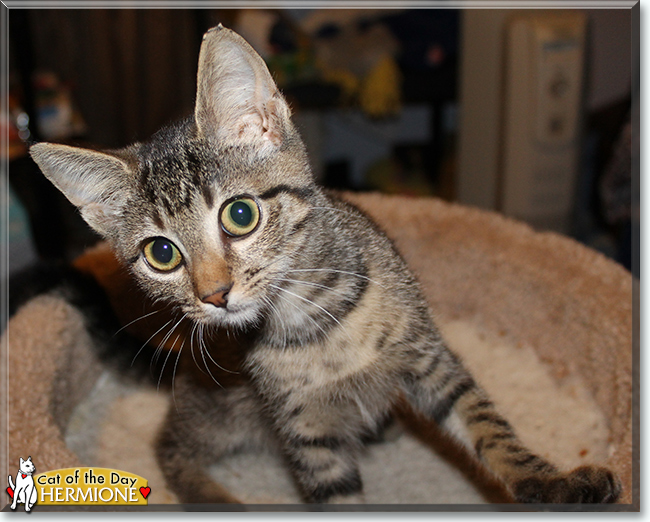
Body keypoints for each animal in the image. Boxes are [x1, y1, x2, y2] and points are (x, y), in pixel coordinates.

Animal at [27, 24, 620, 504]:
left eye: (240, 214)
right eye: (162, 254)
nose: (214, 294)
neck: (315, 322)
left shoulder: (430, 358)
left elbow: (489, 427)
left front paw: (553, 482)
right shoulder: (306, 431)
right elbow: (336, 493)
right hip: (222, 406)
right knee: (169, 444)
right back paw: (214, 496)